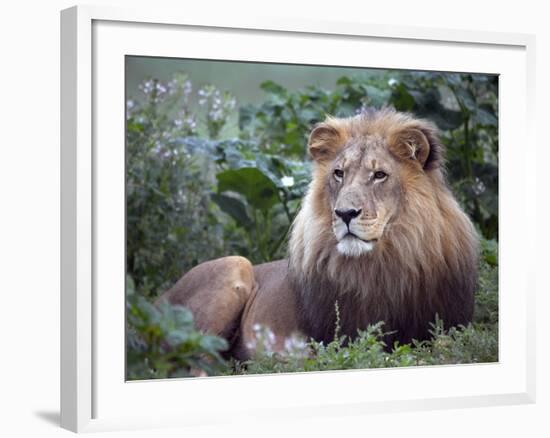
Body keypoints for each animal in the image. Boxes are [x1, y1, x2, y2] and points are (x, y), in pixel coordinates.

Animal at [156, 107, 478, 360]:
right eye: (339, 173)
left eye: (379, 175)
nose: (345, 214)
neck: (384, 264)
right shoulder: (334, 340)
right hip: (235, 265)